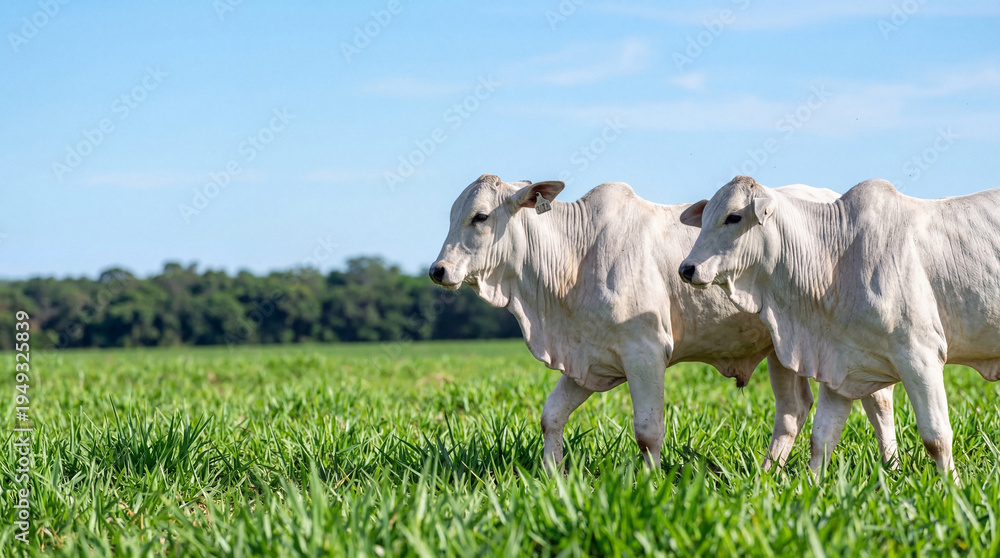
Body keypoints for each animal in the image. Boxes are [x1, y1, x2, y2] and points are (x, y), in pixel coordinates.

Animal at [429, 174, 898, 472]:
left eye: (480, 217)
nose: (438, 270)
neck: (572, 259)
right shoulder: (588, 358)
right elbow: (551, 417)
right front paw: (550, 478)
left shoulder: (644, 352)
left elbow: (648, 432)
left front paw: (650, 484)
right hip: (784, 350)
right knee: (793, 411)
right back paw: (767, 475)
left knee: (878, 402)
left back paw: (891, 467)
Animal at [679, 175, 1000, 478]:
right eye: (705, 218)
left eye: (733, 217)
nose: (686, 269)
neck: (836, 257)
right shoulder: (839, 363)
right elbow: (822, 438)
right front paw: (810, 487)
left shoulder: (921, 355)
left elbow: (936, 437)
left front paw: (952, 487)